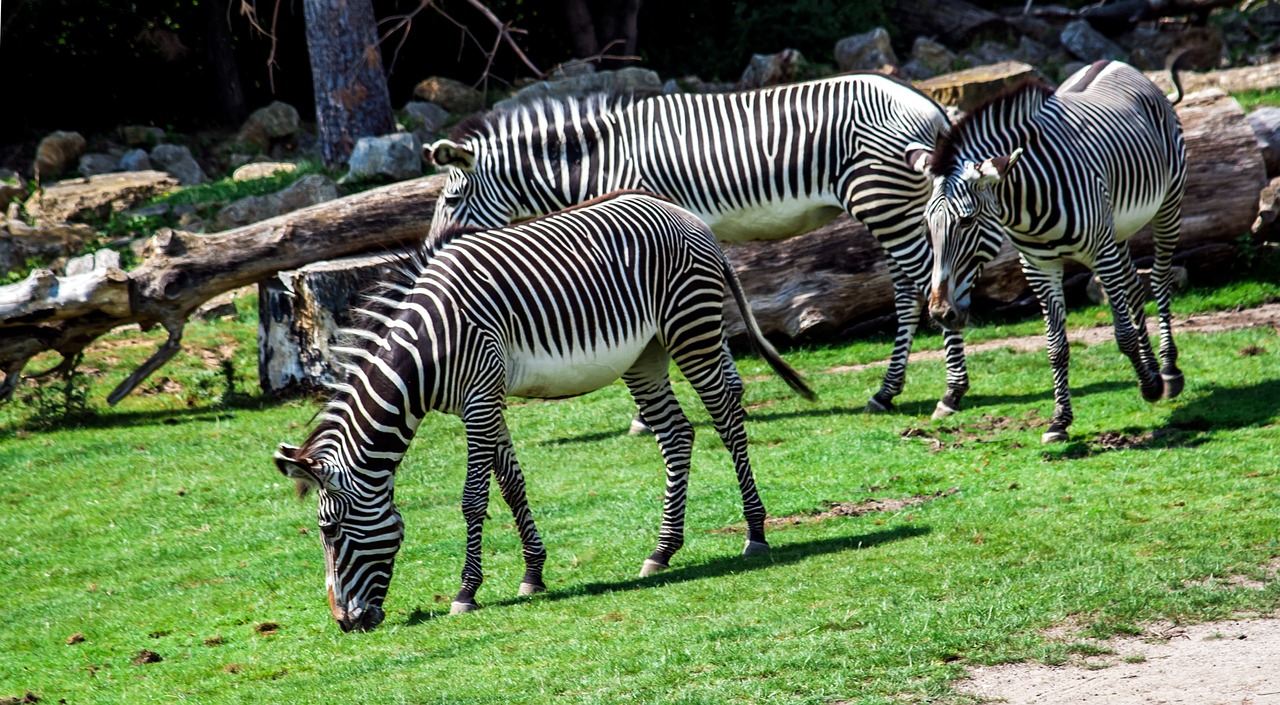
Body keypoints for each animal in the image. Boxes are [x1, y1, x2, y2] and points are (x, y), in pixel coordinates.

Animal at [271, 190, 814, 632]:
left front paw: (466, 592)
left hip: (691, 329)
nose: (345, 624)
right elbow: (512, 484)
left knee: (727, 418)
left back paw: (755, 533)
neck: (426, 352)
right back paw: (662, 551)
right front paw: (533, 573)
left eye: (330, 530)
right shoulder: (484, 399)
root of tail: (683, 213)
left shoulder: (479, 398)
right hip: (646, 352)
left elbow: (473, 498)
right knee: (678, 434)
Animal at [424, 74, 972, 424]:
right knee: (908, 284)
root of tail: (930, 103)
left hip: (880, 197)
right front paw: (732, 389)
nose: (428, 253)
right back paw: (890, 391)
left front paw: (652, 416)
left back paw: (949, 391)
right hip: (898, 203)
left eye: (450, 199)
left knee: (923, 280)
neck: (602, 159)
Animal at [911, 62, 1187, 447]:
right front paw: (1059, 421)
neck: (1028, 202)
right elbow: (1056, 348)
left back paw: (1168, 371)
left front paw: (1150, 386)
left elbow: (1122, 334)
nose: (939, 313)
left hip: (1167, 204)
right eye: (926, 224)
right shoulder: (1039, 266)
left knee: (1159, 280)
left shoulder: (1100, 252)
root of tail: (1118, 64)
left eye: (966, 221)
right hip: (1117, 229)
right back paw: (1153, 366)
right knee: (1134, 286)